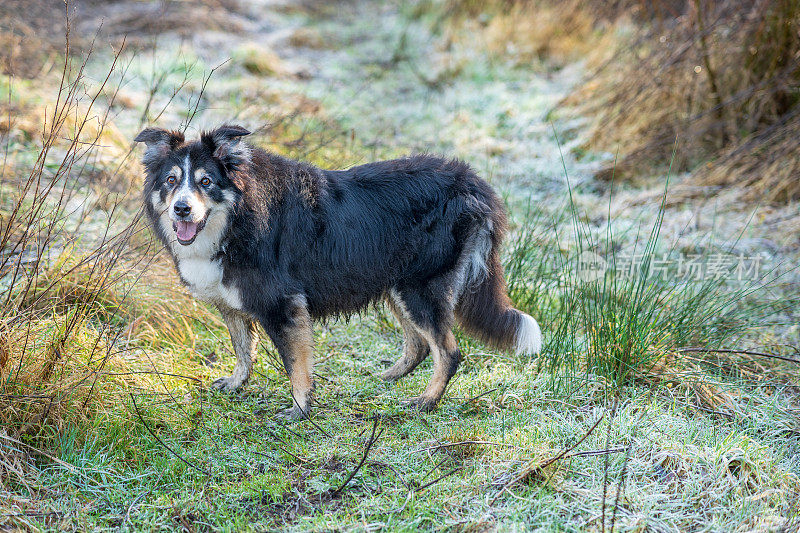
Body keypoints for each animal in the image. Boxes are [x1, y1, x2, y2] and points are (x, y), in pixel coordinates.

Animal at [134, 125, 540, 420]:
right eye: (171, 181)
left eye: (206, 181)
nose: (182, 209)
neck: (235, 219)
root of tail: (471, 181)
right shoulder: (232, 304)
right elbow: (242, 349)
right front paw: (237, 383)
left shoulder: (283, 306)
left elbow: (295, 365)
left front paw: (300, 409)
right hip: (396, 285)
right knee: (422, 344)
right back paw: (388, 377)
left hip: (419, 288)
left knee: (449, 351)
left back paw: (425, 402)